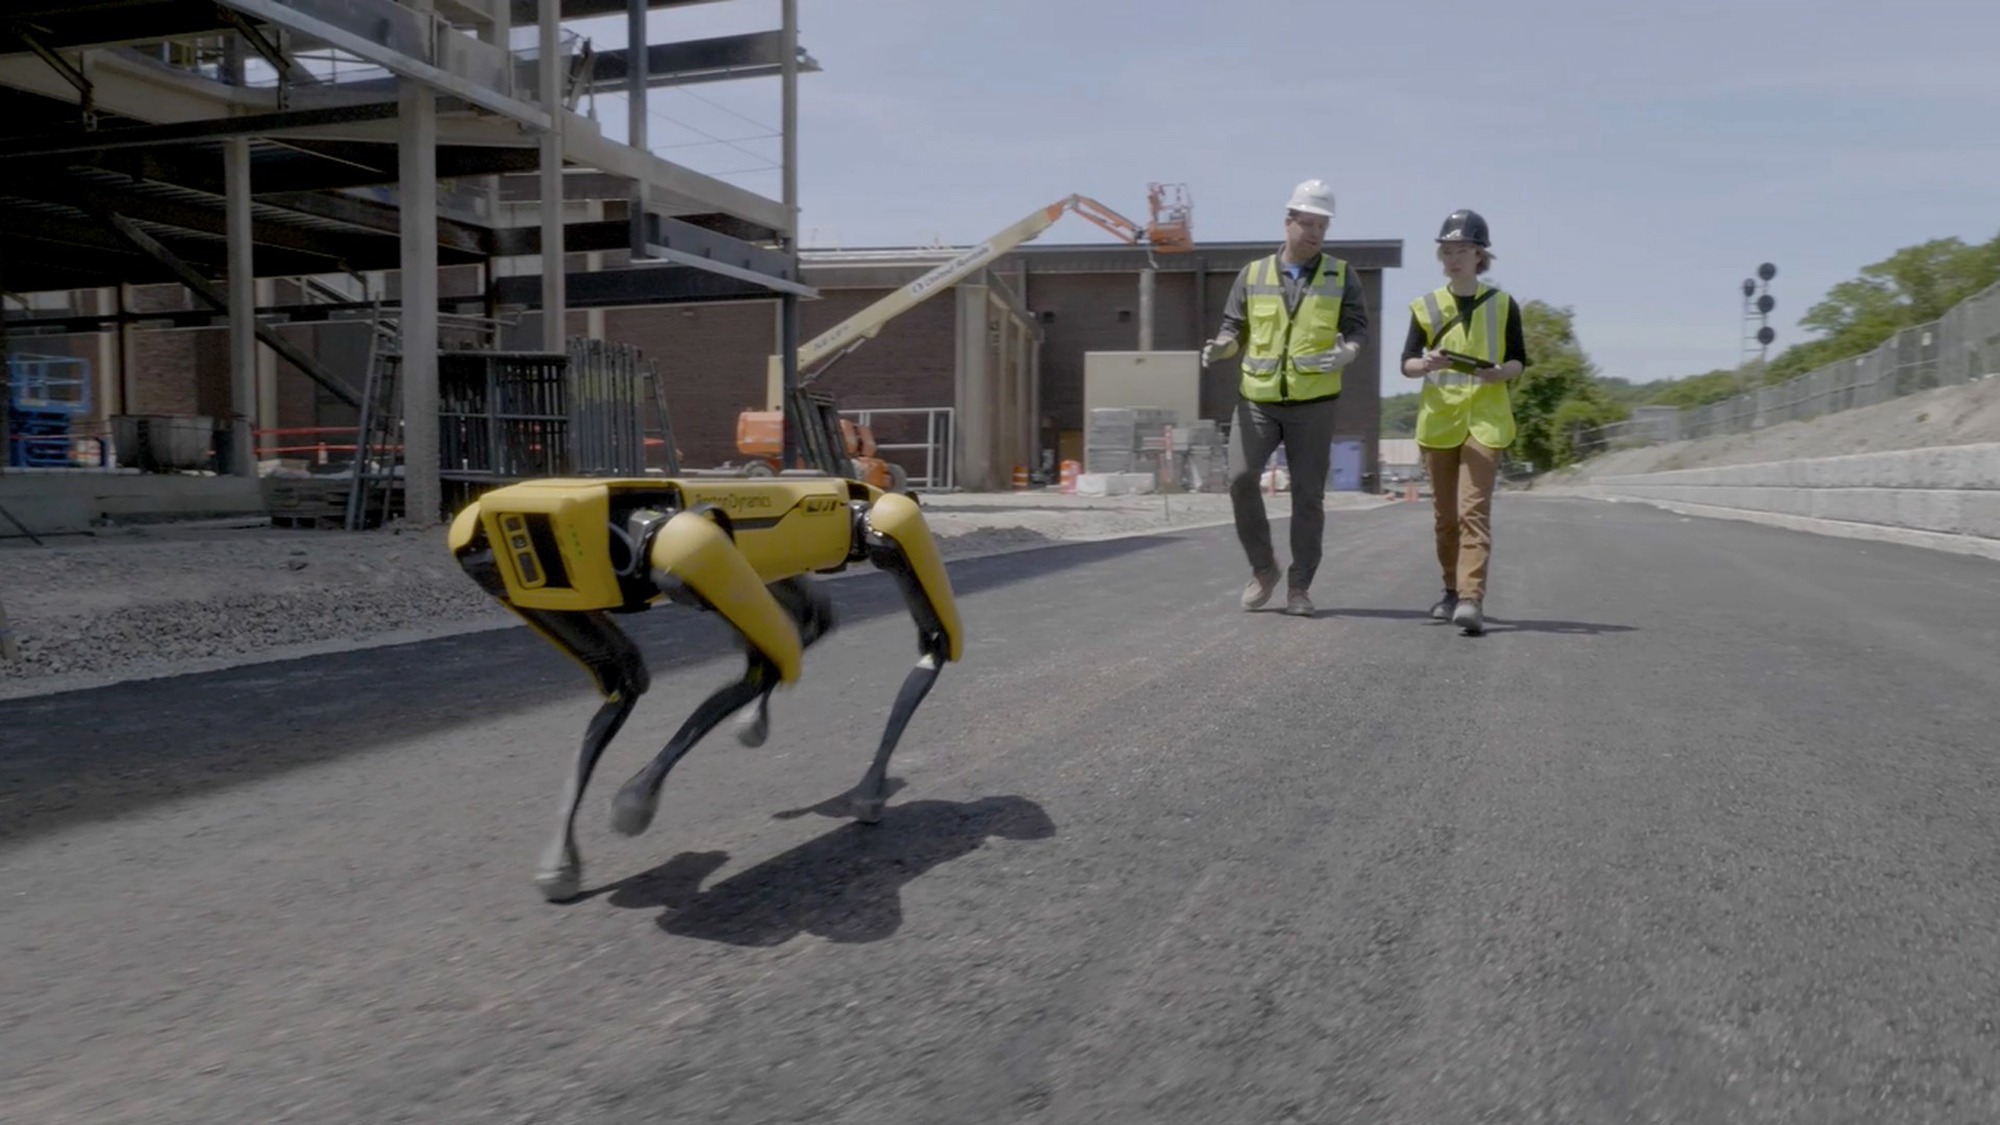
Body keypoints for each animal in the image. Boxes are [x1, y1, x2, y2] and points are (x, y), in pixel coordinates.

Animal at [450, 468, 964, 896]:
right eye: (504, 552)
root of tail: (863, 488)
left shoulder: (691, 549)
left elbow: (768, 662)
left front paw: (636, 798)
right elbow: (627, 680)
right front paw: (565, 857)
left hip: (863, 534)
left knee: (923, 637)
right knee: (807, 628)